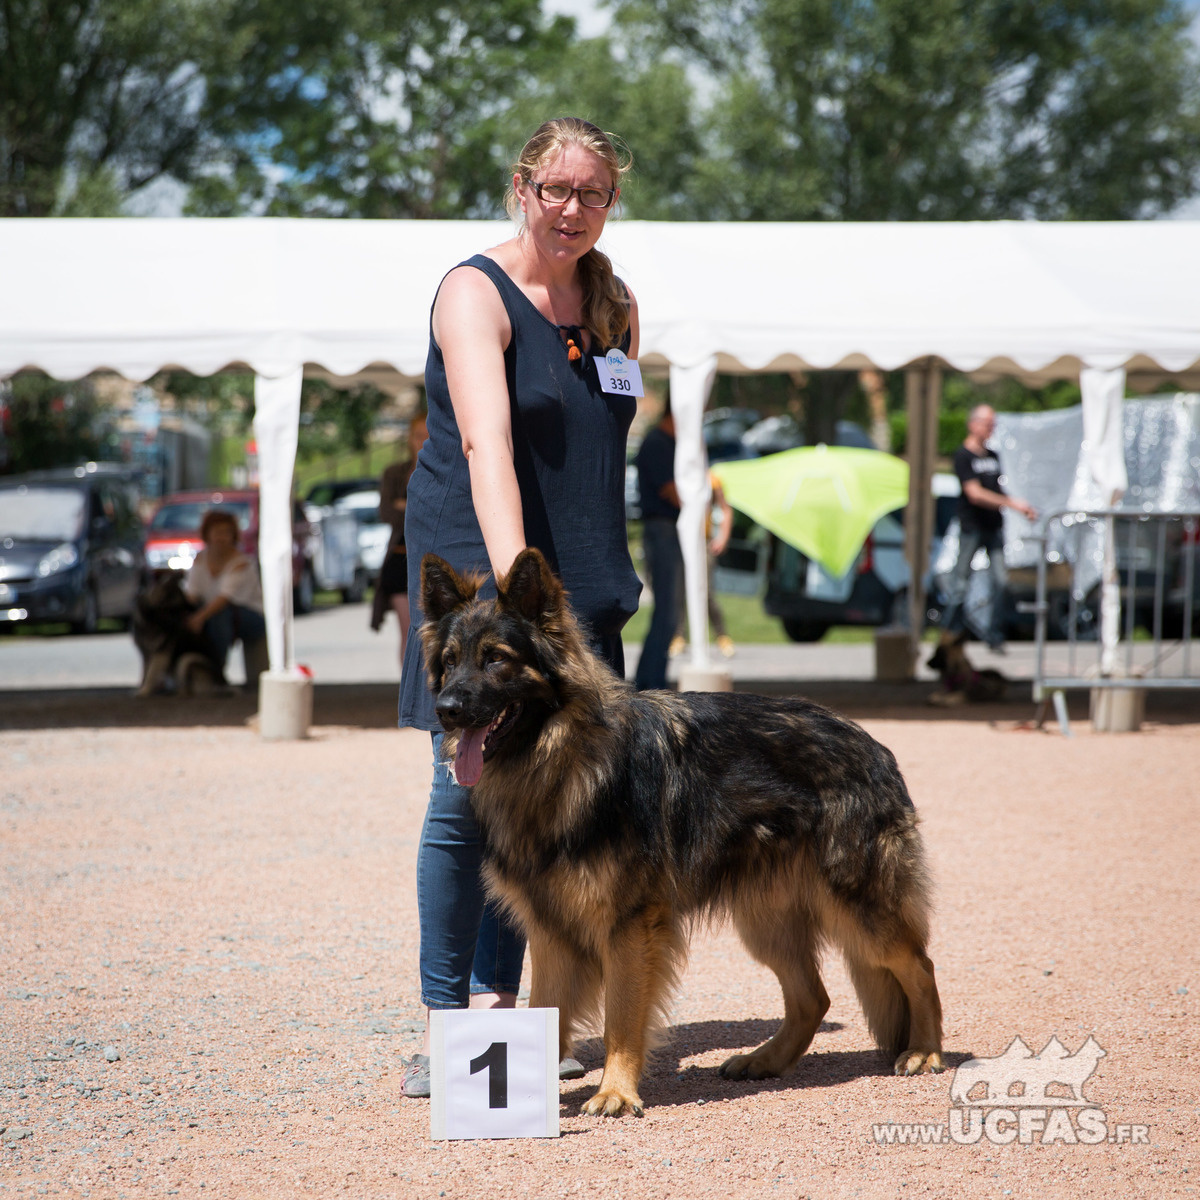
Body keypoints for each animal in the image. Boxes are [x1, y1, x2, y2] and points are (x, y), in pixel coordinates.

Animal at [420, 547, 945, 1118]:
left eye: (496, 659)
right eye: (450, 661)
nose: (445, 710)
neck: (559, 762)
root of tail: (873, 744)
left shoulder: (629, 926)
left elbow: (621, 1016)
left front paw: (615, 1091)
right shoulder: (551, 931)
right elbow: (546, 1009)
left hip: (860, 910)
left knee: (920, 966)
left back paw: (925, 1051)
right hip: (767, 923)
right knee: (814, 998)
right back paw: (765, 1060)